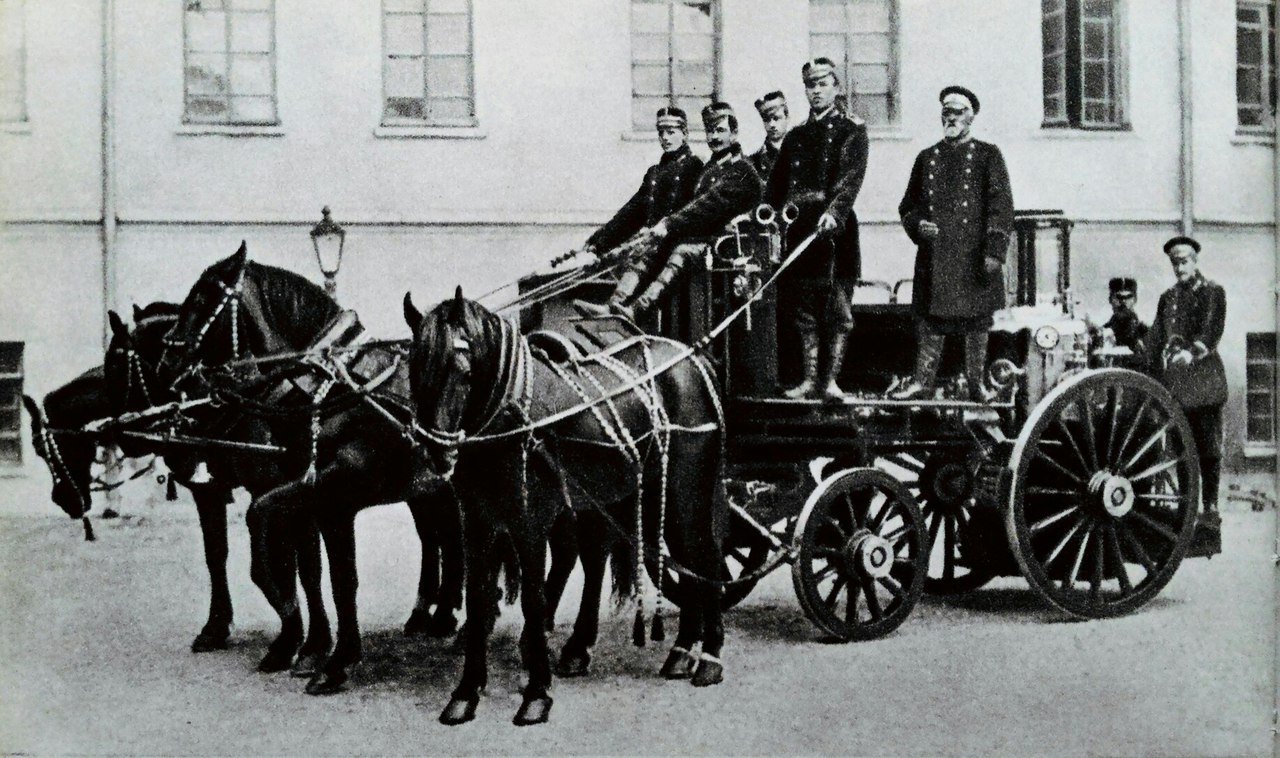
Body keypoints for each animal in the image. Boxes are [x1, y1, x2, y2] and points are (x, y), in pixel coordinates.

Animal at [156, 244, 471, 691]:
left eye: (203, 299)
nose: (168, 360)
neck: (331, 389)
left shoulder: (335, 497)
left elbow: (335, 576)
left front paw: (329, 656)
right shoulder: (312, 496)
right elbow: (308, 564)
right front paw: (310, 644)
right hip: (431, 490)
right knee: (442, 537)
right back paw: (438, 616)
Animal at [407, 286, 732, 727]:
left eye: (463, 368)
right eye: (414, 366)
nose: (435, 452)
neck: (511, 414)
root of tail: (695, 361)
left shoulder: (529, 522)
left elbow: (534, 600)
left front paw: (536, 694)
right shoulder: (475, 522)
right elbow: (477, 599)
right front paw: (465, 693)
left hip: (685, 495)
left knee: (705, 558)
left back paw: (710, 658)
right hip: (648, 500)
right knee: (679, 560)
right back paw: (681, 653)